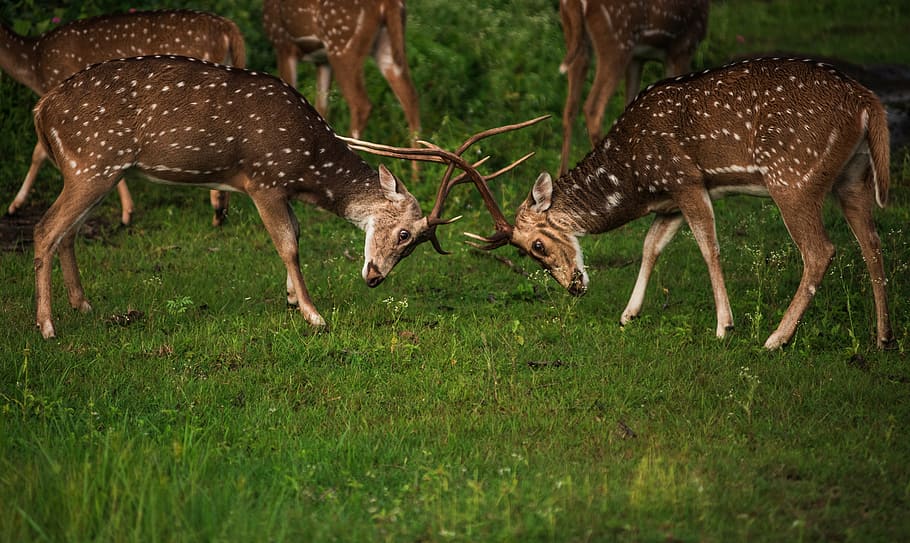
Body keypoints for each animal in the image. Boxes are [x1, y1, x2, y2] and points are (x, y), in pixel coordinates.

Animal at [1, 9, 246, 226]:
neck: (32, 63)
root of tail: (230, 28)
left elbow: (38, 152)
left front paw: (14, 206)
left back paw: (218, 211)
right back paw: (221, 211)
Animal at [30, 54, 544, 338]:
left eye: (416, 244)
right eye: (403, 233)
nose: (375, 277)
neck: (308, 166)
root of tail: (41, 109)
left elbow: (295, 236)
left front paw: (294, 300)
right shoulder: (263, 179)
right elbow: (289, 244)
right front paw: (314, 316)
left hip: (91, 170)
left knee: (68, 233)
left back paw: (82, 305)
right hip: (92, 163)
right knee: (44, 229)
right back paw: (48, 326)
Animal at [262, 0, 421, 155]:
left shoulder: (283, 45)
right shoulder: (322, 61)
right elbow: (321, 108)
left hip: (342, 46)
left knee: (361, 105)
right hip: (385, 46)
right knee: (410, 97)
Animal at [466, 58, 894, 350]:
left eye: (537, 245)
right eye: (523, 253)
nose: (574, 287)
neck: (636, 180)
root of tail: (867, 101)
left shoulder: (686, 181)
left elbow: (708, 247)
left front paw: (724, 327)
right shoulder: (669, 201)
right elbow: (650, 246)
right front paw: (629, 313)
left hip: (793, 177)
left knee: (821, 250)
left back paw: (776, 338)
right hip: (852, 176)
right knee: (872, 243)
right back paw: (883, 337)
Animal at [558, 0, 709, 175]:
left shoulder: (637, 58)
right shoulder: (683, 47)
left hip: (576, 40)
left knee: (570, 109)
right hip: (617, 42)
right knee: (593, 109)